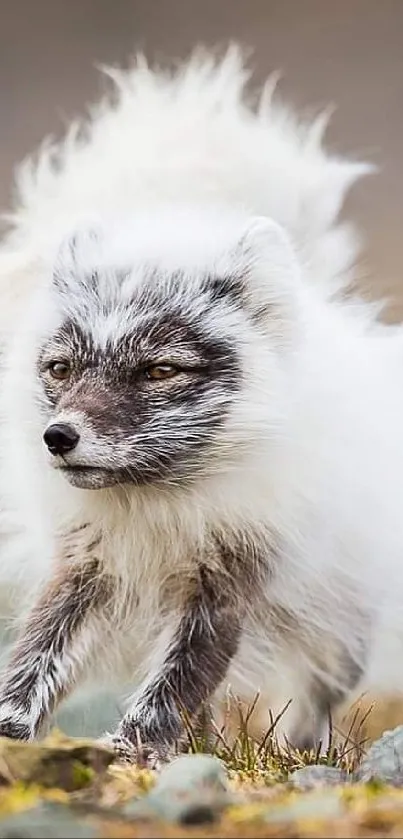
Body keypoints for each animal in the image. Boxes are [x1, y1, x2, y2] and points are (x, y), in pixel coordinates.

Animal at [0, 46, 400, 764]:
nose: (59, 436)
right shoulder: (85, 566)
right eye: (60, 367)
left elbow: (176, 681)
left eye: (160, 369)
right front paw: (12, 730)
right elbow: (35, 656)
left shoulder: (229, 581)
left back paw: (302, 752)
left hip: (337, 622)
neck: (158, 508)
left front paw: (129, 749)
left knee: (317, 692)